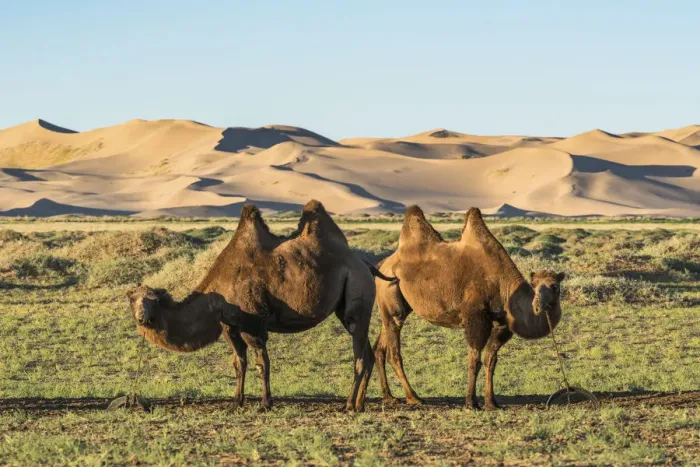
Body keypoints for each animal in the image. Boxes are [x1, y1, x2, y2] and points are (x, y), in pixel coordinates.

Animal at [126, 200, 394, 411]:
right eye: (132, 300)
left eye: (152, 301)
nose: (142, 318)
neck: (215, 295)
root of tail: (365, 264)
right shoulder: (230, 325)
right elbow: (238, 363)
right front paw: (236, 402)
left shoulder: (252, 323)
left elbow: (261, 363)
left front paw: (265, 403)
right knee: (367, 352)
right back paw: (359, 403)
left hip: (357, 292)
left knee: (359, 353)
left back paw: (349, 404)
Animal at [373, 206, 565, 410]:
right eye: (534, 285)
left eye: (554, 285)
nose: (538, 305)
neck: (504, 284)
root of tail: (383, 264)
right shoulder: (476, 317)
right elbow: (474, 360)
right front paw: (471, 403)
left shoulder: (502, 322)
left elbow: (491, 360)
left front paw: (491, 402)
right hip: (391, 295)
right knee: (394, 350)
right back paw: (413, 397)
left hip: (394, 306)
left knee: (380, 345)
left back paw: (388, 396)